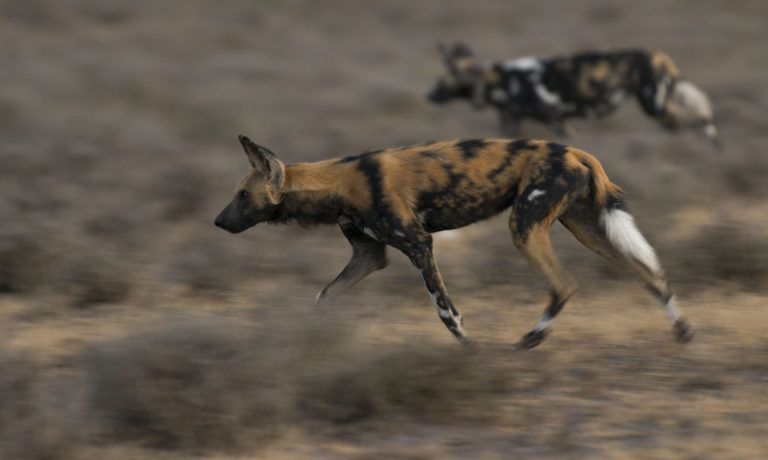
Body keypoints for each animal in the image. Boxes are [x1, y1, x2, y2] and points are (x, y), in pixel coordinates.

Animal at [213, 136, 692, 348]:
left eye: (242, 195)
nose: (217, 221)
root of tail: (578, 151)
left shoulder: (419, 245)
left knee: (565, 284)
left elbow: (446, 312)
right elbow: (322, 298)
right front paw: (311, 336)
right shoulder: (369, 256)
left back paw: (531, 338)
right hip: (584, 227)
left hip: (524, 227)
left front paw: (470, 349)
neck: (340, 183)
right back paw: (682, 330)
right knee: (648, 273)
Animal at [426, 43, 720, 149]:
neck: (501, 80)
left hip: (653, 104)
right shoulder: (511, 123)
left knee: (696, 119)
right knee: (681, 123)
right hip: (658, 107)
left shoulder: (557, 120)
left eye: (440, 81)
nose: (428, 95)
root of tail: (662, 58)